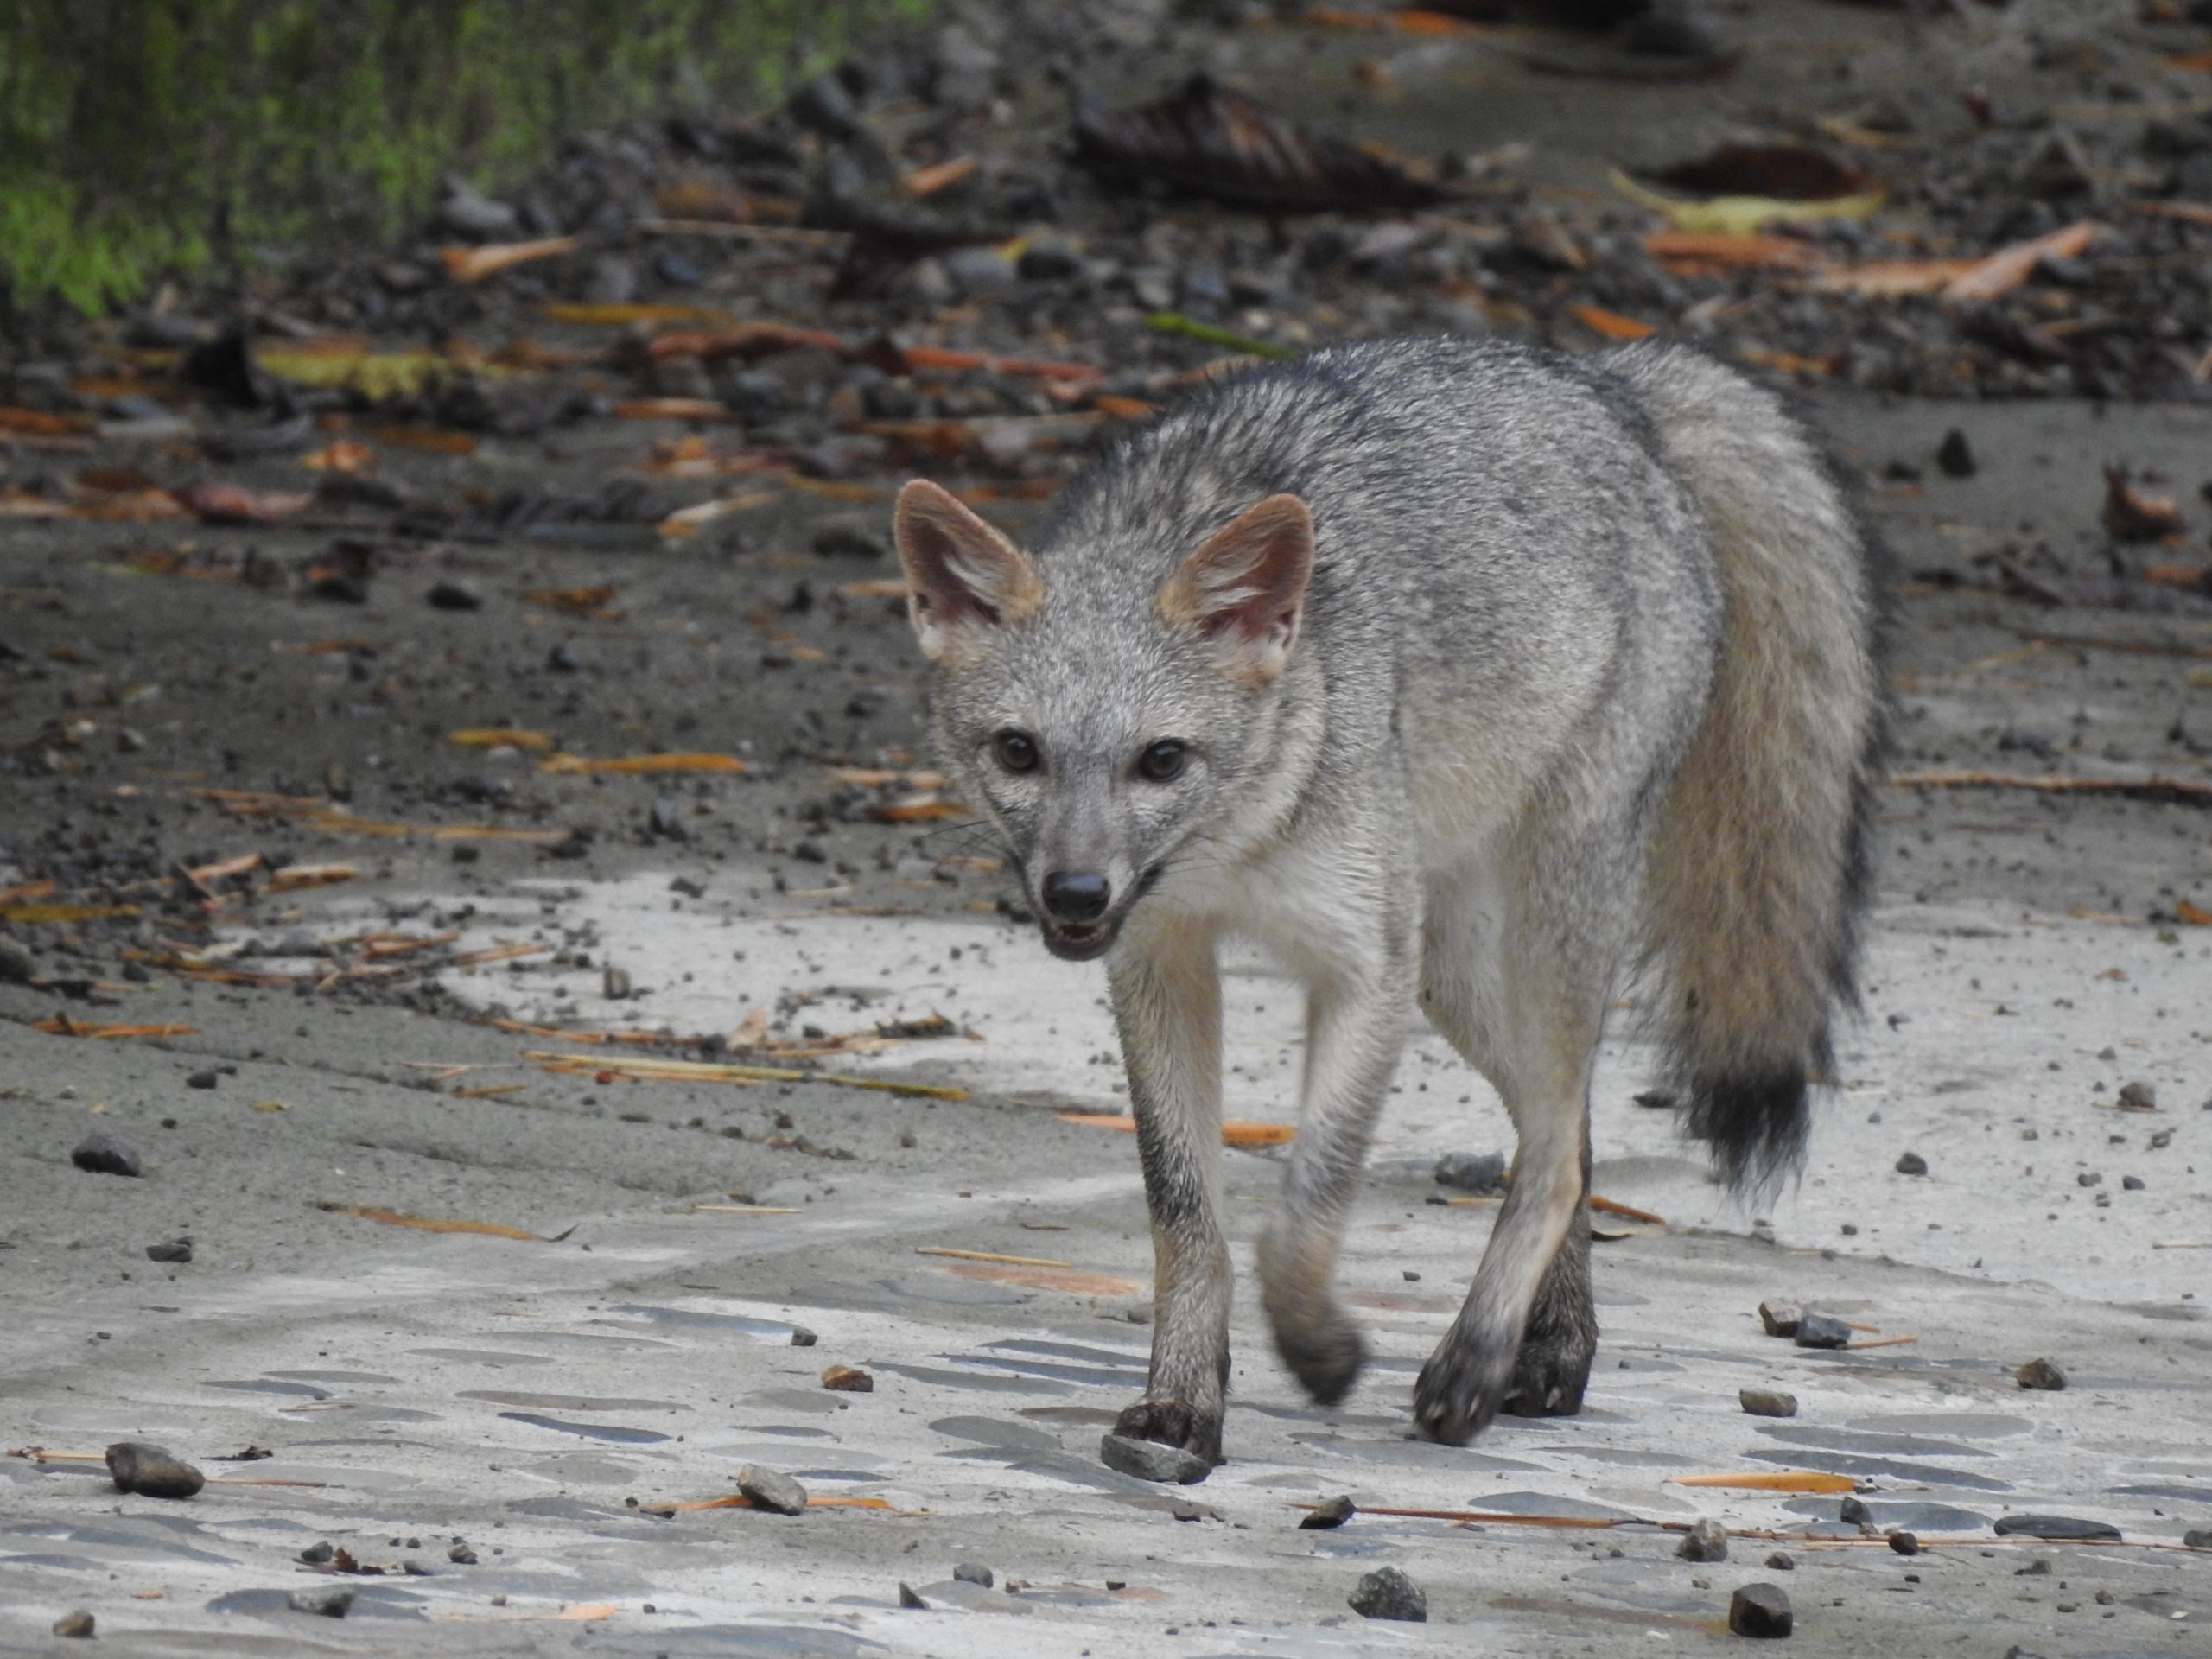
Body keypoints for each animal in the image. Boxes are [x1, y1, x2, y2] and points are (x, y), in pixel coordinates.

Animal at [893, 334, 1885, 1468]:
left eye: (1161, 761)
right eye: (1019, 753)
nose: (1073, 891)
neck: (1242, 842)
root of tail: (1603, 378)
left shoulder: (1362, 971)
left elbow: (1303, 1210)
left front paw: (1318, 1349)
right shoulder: (1159, 963)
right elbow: (1186, 1214)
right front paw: (1183, 1402)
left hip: (1532, 926)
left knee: (1553, 1150)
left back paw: (1477, 1358)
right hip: (1451, 973)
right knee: (1569, 1134)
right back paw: (1555, 1351)